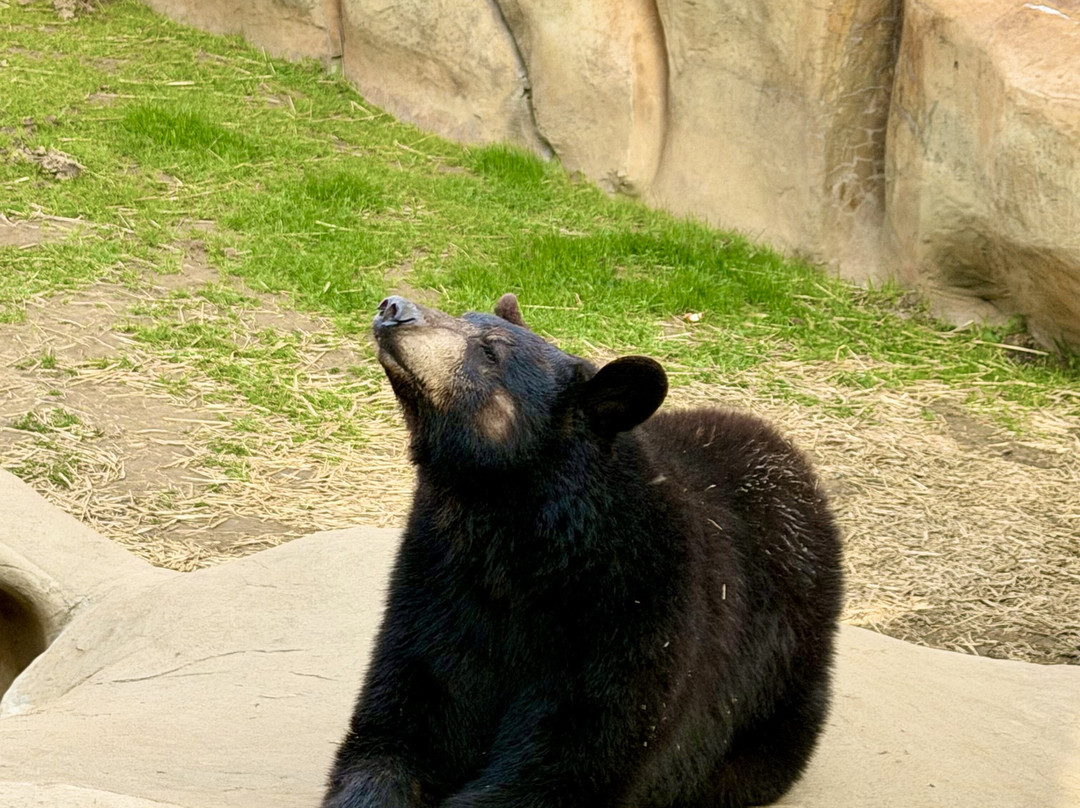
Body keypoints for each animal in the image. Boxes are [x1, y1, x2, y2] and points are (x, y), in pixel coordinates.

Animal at [322, 294, 843, 808]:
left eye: (490, 352)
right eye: (466, 314)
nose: (394, 308)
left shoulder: (638, 611)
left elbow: (570, 760)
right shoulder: (439, 584)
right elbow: (401, 724)